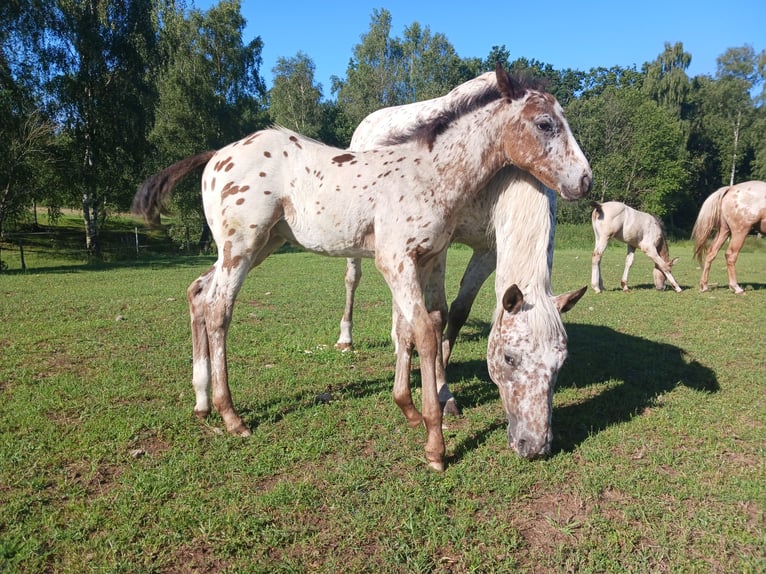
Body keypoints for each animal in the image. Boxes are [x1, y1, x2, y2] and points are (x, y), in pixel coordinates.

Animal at [132, 65, 592, 470]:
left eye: (561, 363)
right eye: (546, 124)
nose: (584, 181)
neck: (431, 173)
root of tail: (217, 155)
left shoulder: (427, 258)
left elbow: (425, 323)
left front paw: (412, 410)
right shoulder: (396, 260)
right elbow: (424, 332)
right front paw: (435, 446)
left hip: (262, 245)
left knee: (198, 291)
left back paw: (202, 403)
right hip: (241, 247)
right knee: (218, 310)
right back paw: (232, 416)